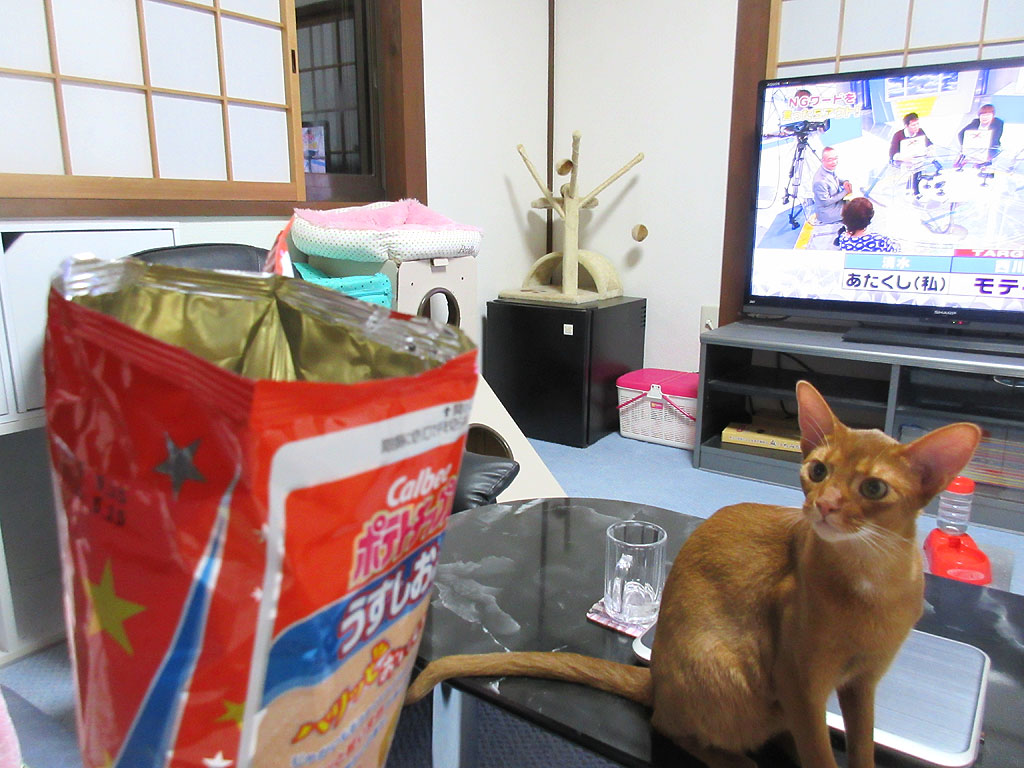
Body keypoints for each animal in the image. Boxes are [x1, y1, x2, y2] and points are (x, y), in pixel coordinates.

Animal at [405, 380, 981, 768]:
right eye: (817, 470)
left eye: (874, 489)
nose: (825, 504)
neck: (870, 581)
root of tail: (656, 674)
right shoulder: (801, 681)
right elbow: (820, 750)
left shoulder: (863, 685)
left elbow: (860, 747)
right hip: (732, 677)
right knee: (673, 726)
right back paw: (738, 760)